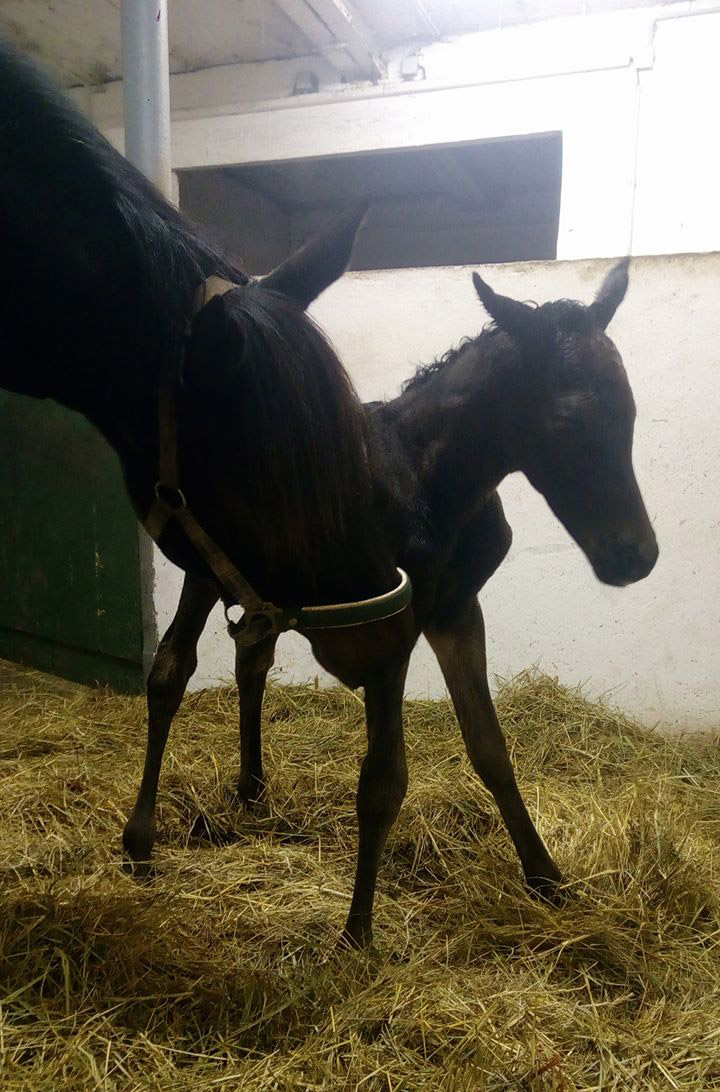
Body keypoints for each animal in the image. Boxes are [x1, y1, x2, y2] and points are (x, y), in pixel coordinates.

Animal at [131, 257, 659, 947]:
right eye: (569, 419)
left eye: (630, 409)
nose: (636, 556)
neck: (427, 481)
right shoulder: (390, 631)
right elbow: (384, 780)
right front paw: (357, 933)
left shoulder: (456, 612)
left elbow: (490, 747)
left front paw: (546, 877)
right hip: (205, 572)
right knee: (170, 673)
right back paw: (141, 842)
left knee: (252, 665)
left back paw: (252, 790)